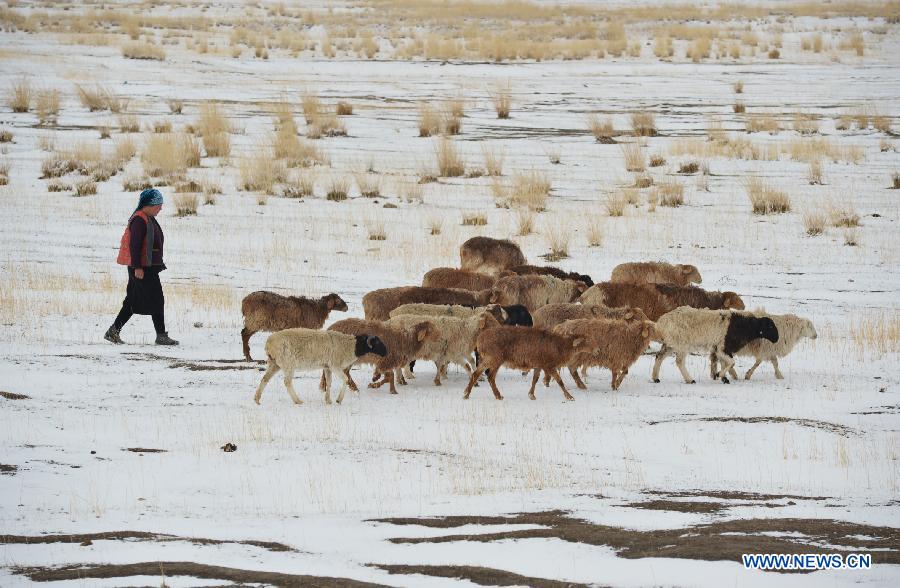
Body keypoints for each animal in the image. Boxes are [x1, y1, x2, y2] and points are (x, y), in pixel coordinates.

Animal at [253, 328, 386, 406]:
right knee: (287, 382)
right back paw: (297, 400)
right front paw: (339, 400)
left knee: (264, 379)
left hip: (274, 363)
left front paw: (328, 400)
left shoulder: (327, 367)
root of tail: (269, 343)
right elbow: (345, 379)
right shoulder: (335, 365)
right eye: (377, 342)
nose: (386, 352)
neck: (351, 346)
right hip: (288, 364)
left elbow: (329, 382)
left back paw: (257, 399)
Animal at [464, 324, 592, 402]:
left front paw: (531, 395)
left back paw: (466, 394)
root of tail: (479, 340)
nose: (595, 349)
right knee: (490, 376)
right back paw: (498, 395)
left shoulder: (539, 364)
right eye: (585, 341)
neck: (561, 347)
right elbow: (559, 381)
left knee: (476, 374)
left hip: (488, 359)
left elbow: (535, 379)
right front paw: (569, 396)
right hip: (495, 359)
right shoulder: (548, 365)